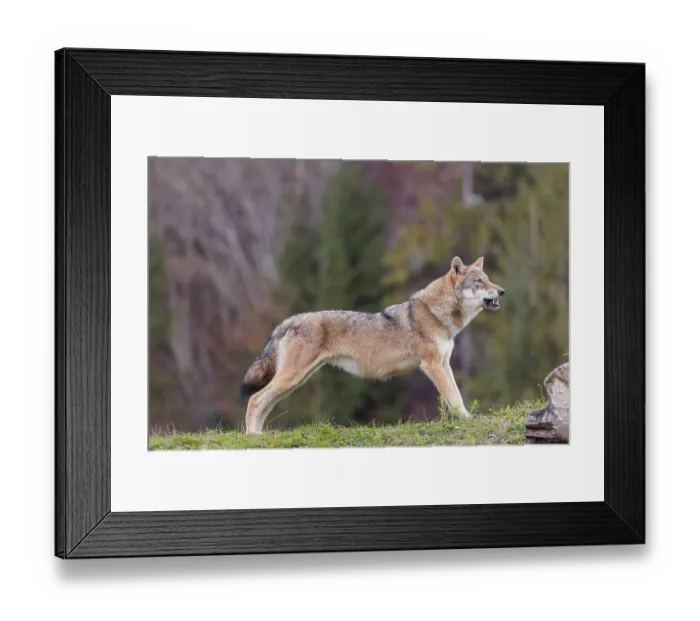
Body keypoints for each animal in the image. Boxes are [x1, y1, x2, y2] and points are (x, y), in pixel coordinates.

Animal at [240, 256, 505, 435]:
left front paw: (467, 417)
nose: (502, 291)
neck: (436, 314)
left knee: (264, 403)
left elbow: (456, 395)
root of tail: (292, 319)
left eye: (488, 280)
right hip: (292, 378)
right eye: (479, 282)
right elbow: (453, 397)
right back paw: (252, 438)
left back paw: (259, 436)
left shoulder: (444, 364)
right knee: (255, 400)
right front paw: (467, 420)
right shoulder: (432, 366)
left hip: (295, 381)